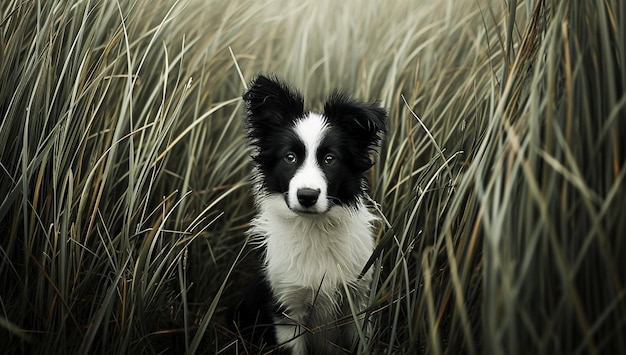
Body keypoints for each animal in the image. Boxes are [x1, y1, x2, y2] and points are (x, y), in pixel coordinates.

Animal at [240, 73, 382, 354]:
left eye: (330, 159)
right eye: (290, 157)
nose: (307, 196)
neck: (314, 227)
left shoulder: (358, 301)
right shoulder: (287, 311)